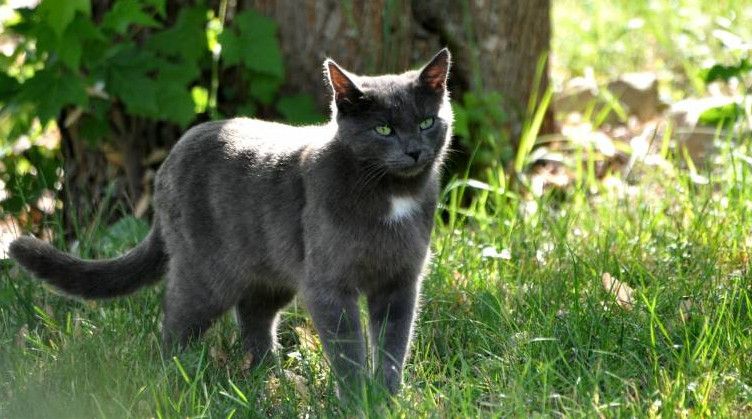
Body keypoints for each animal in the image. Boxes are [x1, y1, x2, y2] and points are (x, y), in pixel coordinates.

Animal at [10, 49, 452, 398]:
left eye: (427, 122)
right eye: (384, 129)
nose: (414, 150)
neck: (392, 195)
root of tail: (169, 162)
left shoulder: (400, 281)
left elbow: (394, 342)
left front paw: (387, 396)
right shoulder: (329, 283)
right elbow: (347, 347)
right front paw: (358, 399)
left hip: (270, 270)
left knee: (254, 316)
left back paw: (270, 378)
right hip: (206, 273)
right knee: (176, 318)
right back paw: (175, 376)